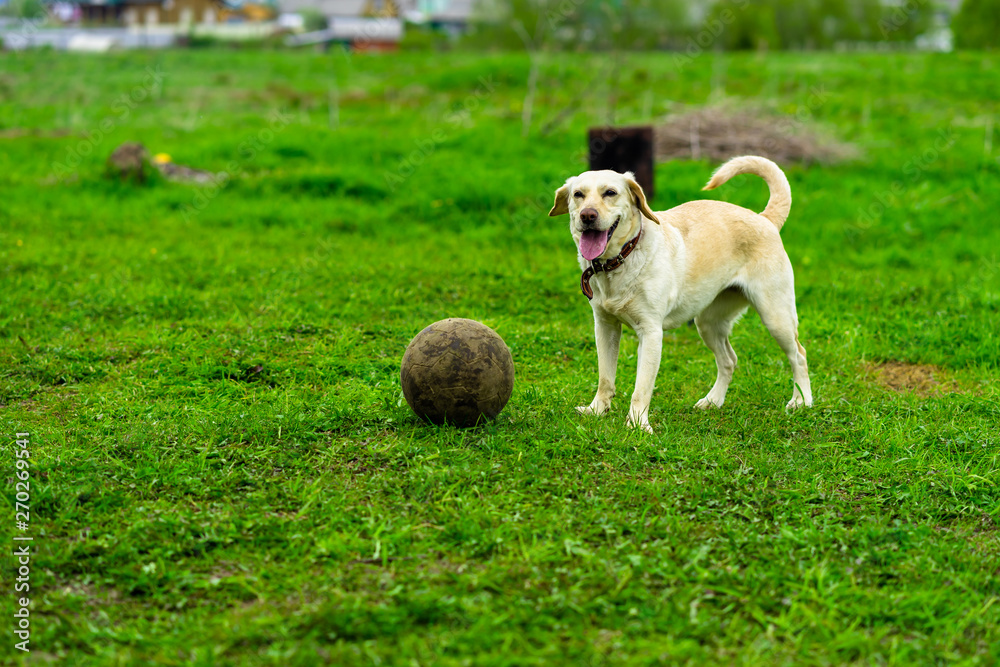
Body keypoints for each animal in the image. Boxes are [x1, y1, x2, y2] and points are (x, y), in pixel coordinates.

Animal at [548, 158, 812, 438]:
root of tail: (765, 219)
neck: (620, 260)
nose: (588, 215)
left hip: (776, 317)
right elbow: (605, 377)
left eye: (610, 192)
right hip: (708, 323)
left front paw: (638, 425)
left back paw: (802, 401)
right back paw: (712, 401)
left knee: (799, 355)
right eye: (578, 194)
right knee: (729, 360)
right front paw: (597, 410)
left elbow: (641, 389)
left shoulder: (651, 333)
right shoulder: (605, 327)